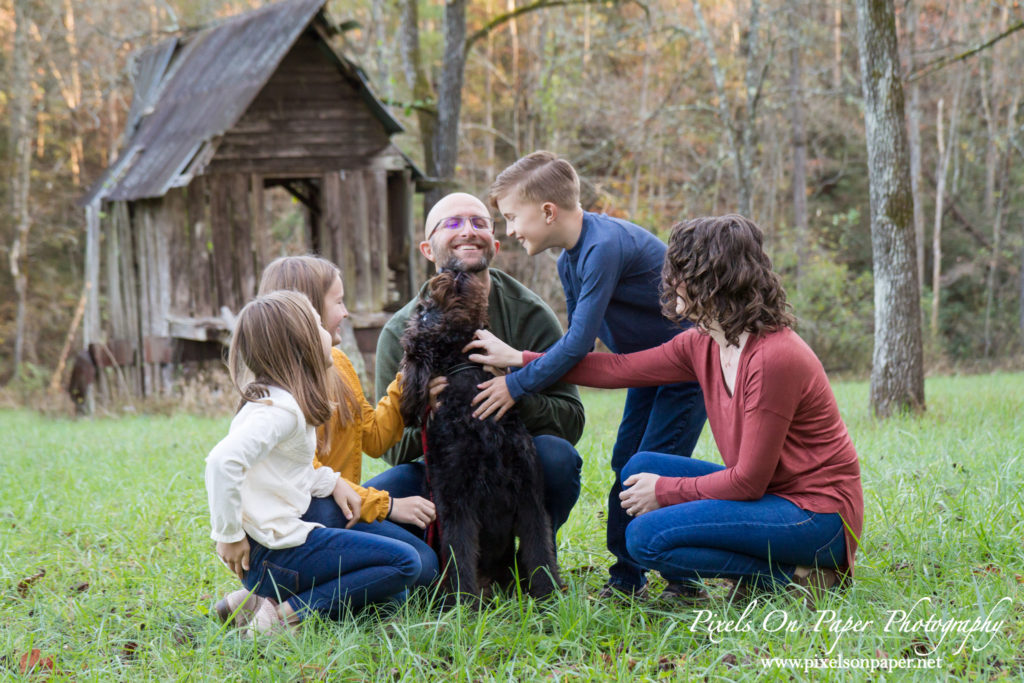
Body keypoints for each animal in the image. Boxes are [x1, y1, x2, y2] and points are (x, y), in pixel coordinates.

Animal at [397, 270, 561, 602]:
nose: (453, 271)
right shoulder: (456, 504)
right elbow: (460, 559)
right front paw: (465, 608)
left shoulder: (529, 497)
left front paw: (550, 602)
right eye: (424, 311)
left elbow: (541, 554)